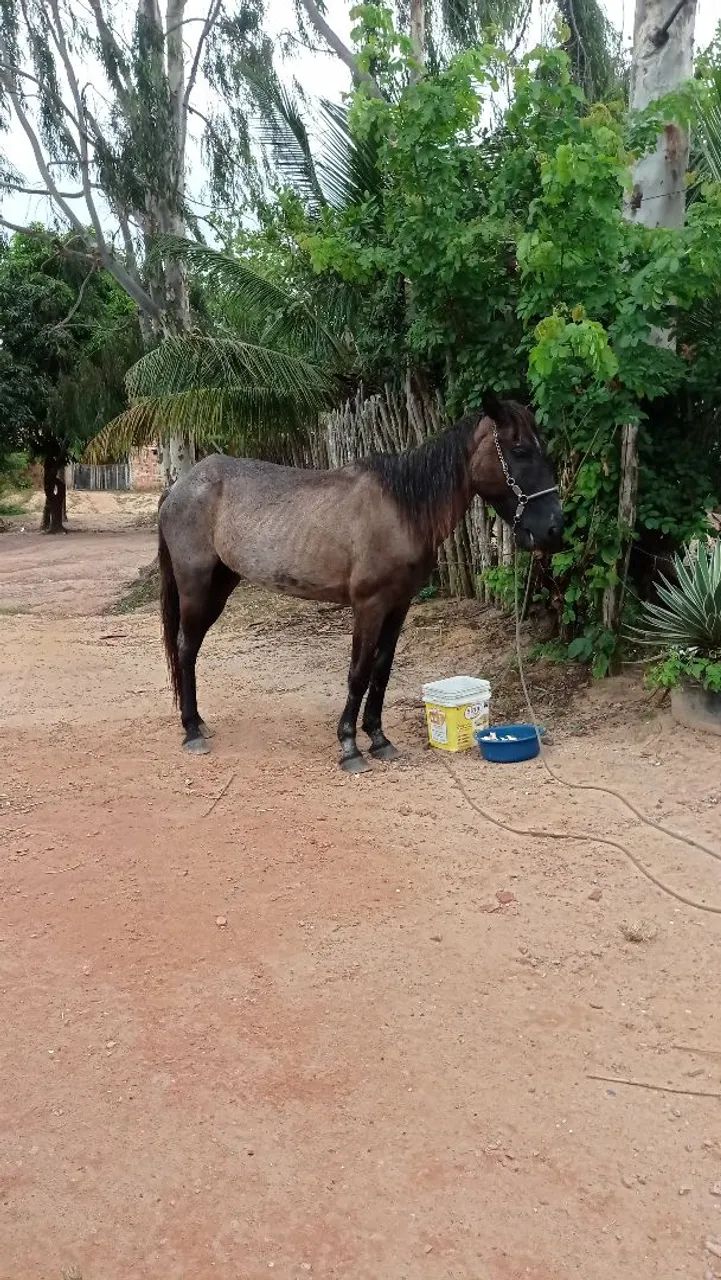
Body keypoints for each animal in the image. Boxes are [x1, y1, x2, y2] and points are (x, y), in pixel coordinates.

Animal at [157, 393, 563, 772]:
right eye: (520, 450)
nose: (553, 529)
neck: (401, 509)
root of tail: (179, 487)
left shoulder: (398, 605)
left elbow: (381, 670)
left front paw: (379, 739)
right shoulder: (369, 606)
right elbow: (358, 672)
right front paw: (350, 746)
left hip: (221, 585)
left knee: (190, 647)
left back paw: (198, 723)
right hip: (195, 585)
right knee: (185, 647)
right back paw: (191, 730)